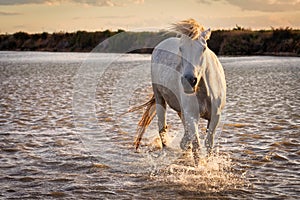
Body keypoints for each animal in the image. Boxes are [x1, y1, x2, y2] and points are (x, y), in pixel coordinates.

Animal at [133, 19, 225, 166]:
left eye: (203, 48)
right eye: (181, 48)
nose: (189, 80)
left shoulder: (215, 116)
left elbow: (208, 142)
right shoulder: (192, 115)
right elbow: (196, 144)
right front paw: (199, 167)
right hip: (159, 98)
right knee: (162, 129)